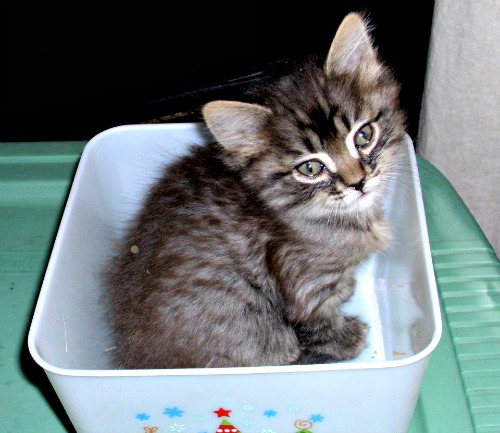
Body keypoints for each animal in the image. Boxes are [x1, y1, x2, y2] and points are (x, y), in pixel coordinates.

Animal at [104, 11, 406, 366]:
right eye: (310, 168)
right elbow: (319, 322)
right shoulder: (306, 285)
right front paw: (348, 339)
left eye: (364, 135)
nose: (357, 182)